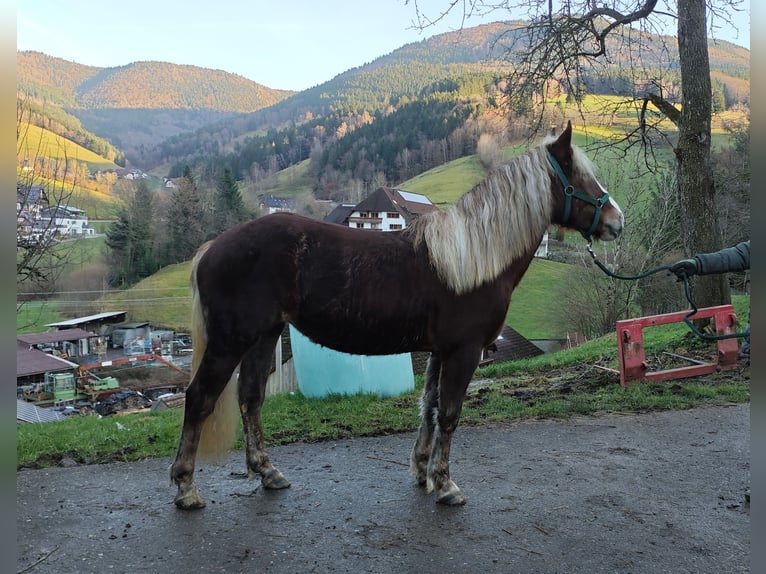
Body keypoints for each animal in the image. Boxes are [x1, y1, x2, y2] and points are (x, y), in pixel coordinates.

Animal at [170, 121, 624, 509]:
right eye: (579, 178)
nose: (616, 221)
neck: (471, 258)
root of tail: (211, 249)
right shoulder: (463, 352)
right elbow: (450, 414)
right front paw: (446, 484)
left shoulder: (440, 352)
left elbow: (429, 408)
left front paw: (423, 472)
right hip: (230, 342)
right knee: (199, 399)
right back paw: (186, 488)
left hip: (263, 337)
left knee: (250, 399)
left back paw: (267, 473)